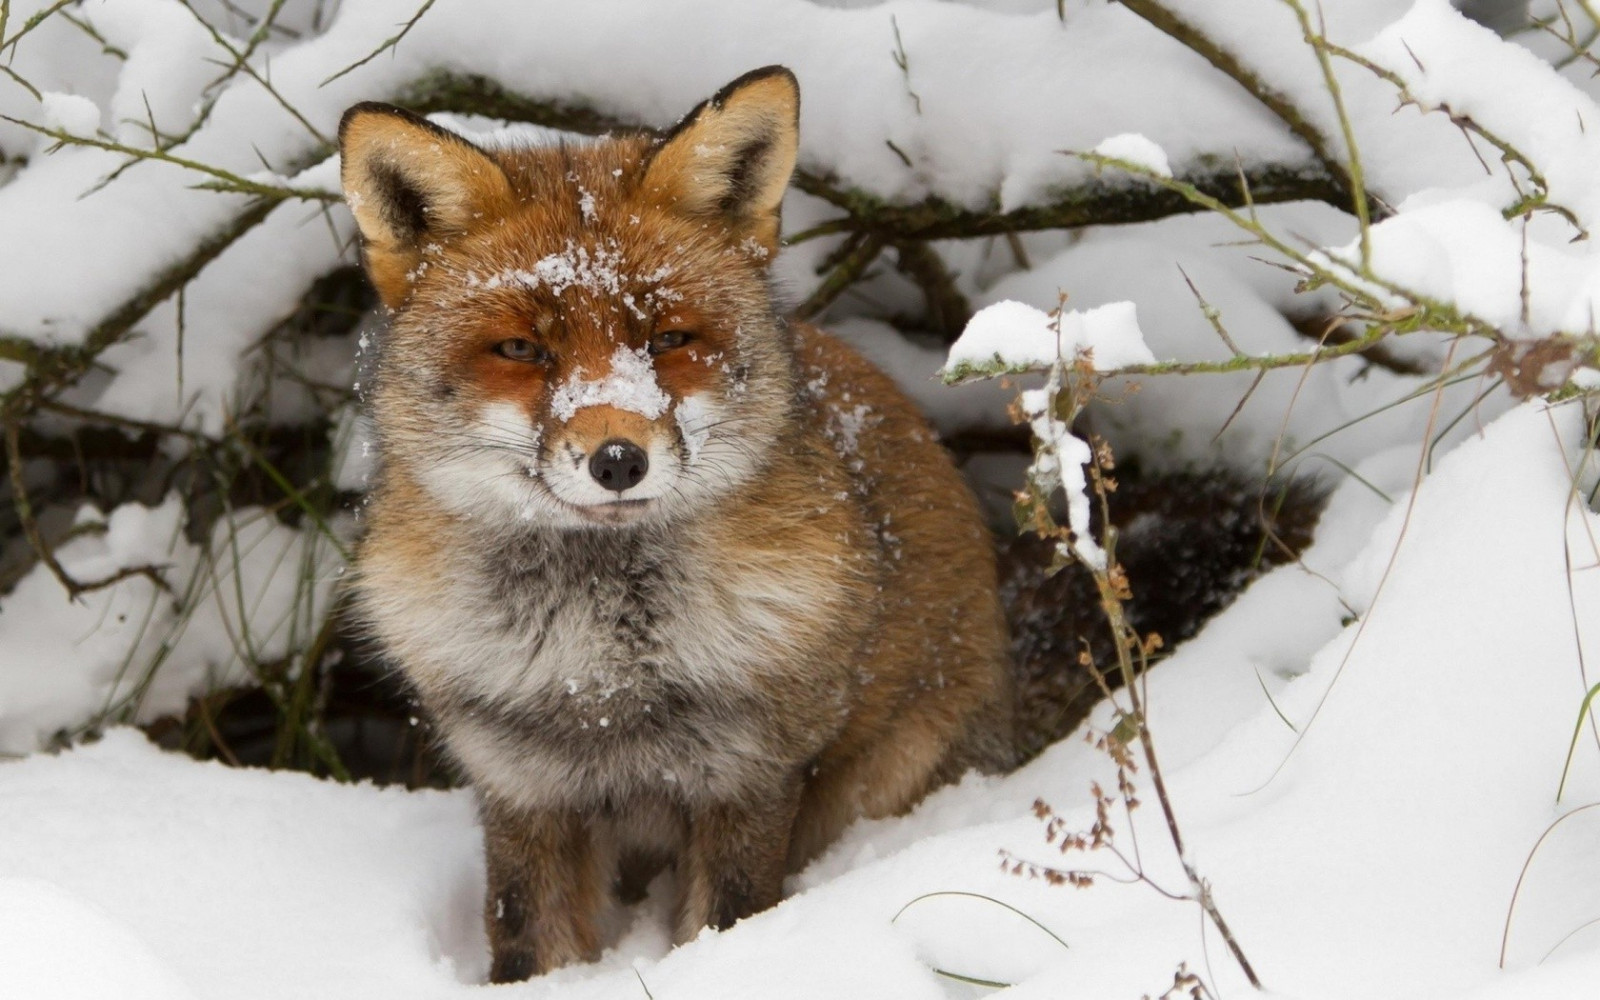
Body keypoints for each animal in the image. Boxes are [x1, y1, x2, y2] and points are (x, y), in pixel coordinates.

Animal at [339, 67, 1015, 982]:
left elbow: (724, 924)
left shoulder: (747, 776)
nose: (618, 459)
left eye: (667, 338)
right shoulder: (521, 785)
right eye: (521, 350)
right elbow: (526, 940)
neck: (602, 675)